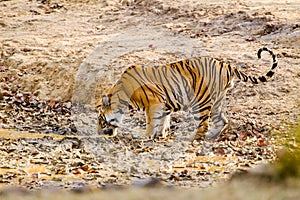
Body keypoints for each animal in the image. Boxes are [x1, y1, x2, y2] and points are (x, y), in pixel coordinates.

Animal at [97, 47, 278, 141]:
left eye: (100, 120)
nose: (98, 133)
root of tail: (225, 64)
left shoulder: (154, 102)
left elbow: (151, 121)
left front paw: (147, 136)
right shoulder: (165, 104)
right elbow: (163, 121)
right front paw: (161, 134)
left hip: (202, 101)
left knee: (204, 125)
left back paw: (190, 138)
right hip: (217, 101)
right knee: (222, 121)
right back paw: (211, 136)